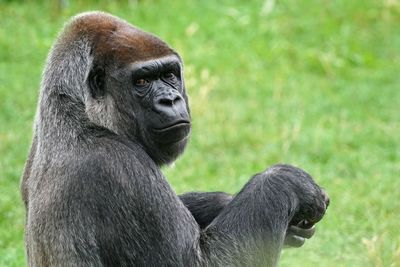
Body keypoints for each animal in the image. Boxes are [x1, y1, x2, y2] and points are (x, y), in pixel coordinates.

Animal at [20, 12, 330, 267]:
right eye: (142, 82)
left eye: (169, 74)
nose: (170, 100)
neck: (78, 111)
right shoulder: (117, 166)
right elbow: (203, 261)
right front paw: (285, 181)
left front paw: (223, 202)